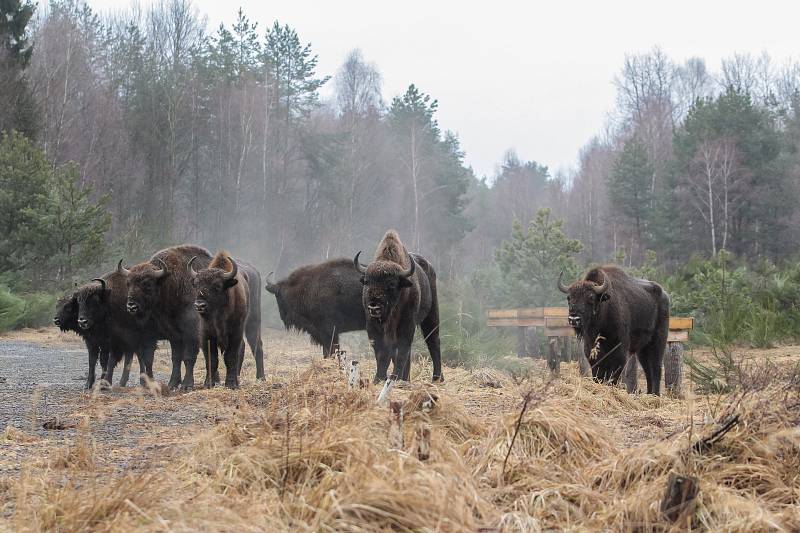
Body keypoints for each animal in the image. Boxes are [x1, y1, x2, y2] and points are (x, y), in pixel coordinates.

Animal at [118, 243, 212, 388]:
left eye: (147, 284)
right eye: (128, 283)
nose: (131, 306)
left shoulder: (190, 334)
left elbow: (188, 357)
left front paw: (186, 384)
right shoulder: (171, 336)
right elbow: (172, 358)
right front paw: (172, 383)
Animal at [191, 251, 266, 388]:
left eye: (217, 285)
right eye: (197, 284)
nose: (199, 305)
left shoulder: (235, 332)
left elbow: (230, 357)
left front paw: (231, 384)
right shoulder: (206, 334)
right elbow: (211, 358)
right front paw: (209, 383)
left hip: (253, 322)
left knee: (257, 346)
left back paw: (261, 377)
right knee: (243, 347)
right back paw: (238, 376)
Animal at [354, 229, 444, 382]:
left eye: (391, 284)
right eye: (366, 281)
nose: (374, 307)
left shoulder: (406, 325)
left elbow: (401, 352)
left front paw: (394, 377)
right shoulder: (373, 327)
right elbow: (382, 353)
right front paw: (379, 378)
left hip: (432, 315)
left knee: (433, 342)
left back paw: (437, 378)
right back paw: (406, 379)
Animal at [560, 266, 672, 394]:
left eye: (591, 297)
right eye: (569, 298)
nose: (574, 319)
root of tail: (664, 295)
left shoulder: (620, 352)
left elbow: (613, 374)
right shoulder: (592, 351)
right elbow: (598, 373)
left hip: (658, 341)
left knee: (656, 367)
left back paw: (655, 395)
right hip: (642, 349)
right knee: (647, 369)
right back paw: (649, 393)